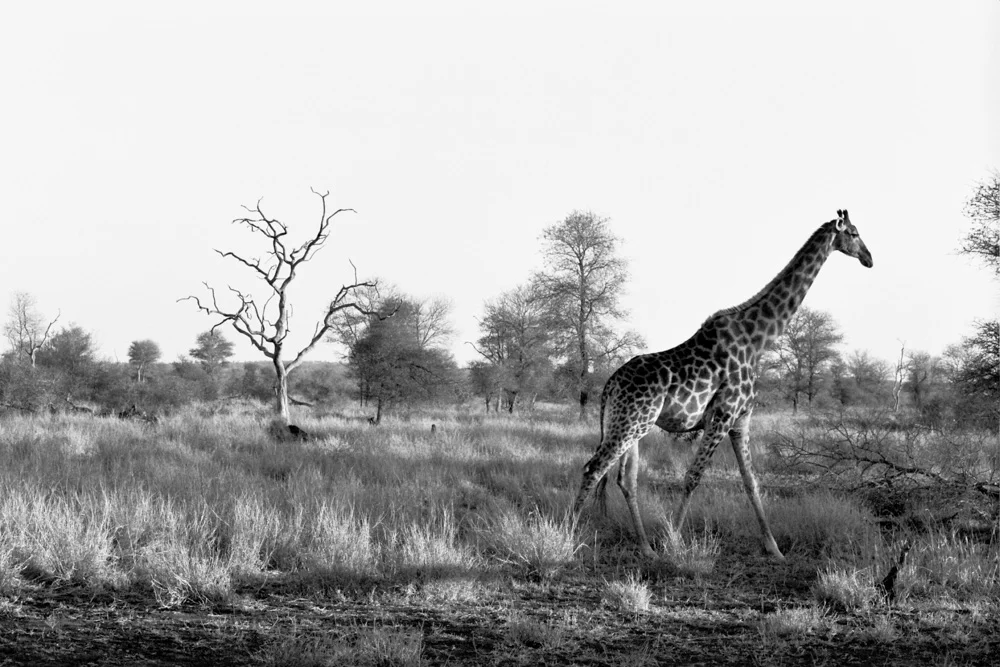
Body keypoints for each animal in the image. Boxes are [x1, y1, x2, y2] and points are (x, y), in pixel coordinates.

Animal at [572, 210, 873, 560]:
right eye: (853, 233)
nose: (869, 259)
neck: (758, 341)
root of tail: (610, 384)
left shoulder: (741, 419)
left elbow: (751, 481)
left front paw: (774, 549)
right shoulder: (723, 415)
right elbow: (693, 476)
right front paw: (674, 541)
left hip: (632, 424)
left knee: (624, 479)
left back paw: (646, 548)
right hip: (631, 423)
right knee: (594, 468)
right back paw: (570, 533)